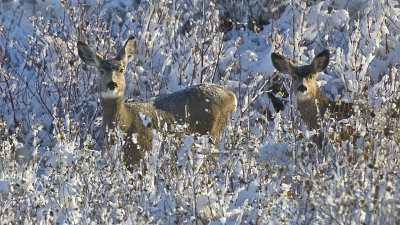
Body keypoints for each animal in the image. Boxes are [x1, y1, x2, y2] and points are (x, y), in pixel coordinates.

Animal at [76, 36, 236, 167]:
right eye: (101, 71)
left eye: (121, 69)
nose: (112, 84)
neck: (126, 122)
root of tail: (232, 96)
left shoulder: (141, 152)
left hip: (213, 133)